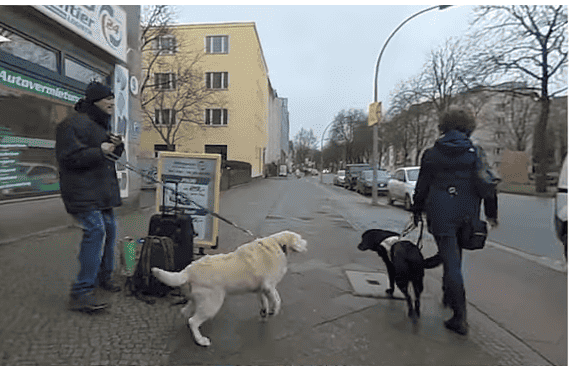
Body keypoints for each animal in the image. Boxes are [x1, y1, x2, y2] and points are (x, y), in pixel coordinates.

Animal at [152, 230, 306, 348]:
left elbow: (264, 300)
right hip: (212, 303)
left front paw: (265, 311)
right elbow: (277, 299)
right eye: (300, 238)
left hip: (199, 299)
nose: (306, 243)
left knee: (186, 312)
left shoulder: (262, 288)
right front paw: (274, 310)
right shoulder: (269, 285)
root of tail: (189, 270)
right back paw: (201, 340)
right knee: (193, 321)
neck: (278, 244)